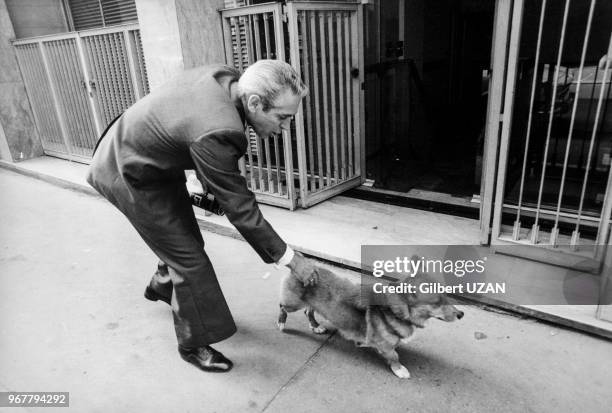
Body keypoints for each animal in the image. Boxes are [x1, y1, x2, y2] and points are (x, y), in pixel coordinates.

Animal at [278, 266, 464, 378]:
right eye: (437, 302)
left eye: (446, 296)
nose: (461, 314)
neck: (398, 311)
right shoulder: (383, 345)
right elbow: (394, 355)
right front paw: (399, 369)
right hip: (292, 304)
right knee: (282, 306)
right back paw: (281, 323)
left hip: (310, 304)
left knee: (308, 311)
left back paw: (315, 326)